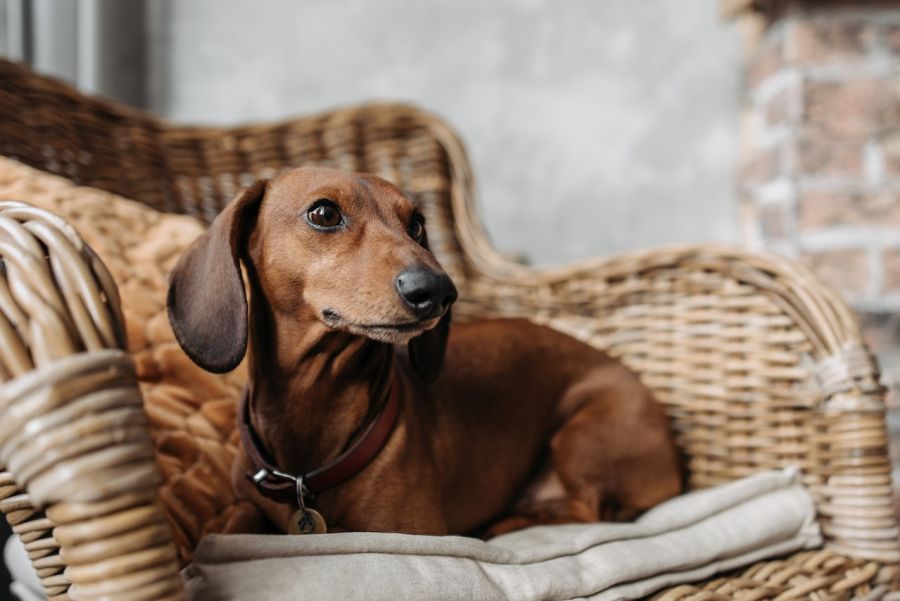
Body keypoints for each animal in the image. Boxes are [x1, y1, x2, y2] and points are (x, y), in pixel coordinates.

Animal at [165, 166, 680, 536]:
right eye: (324, 213)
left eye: (415, 224)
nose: (437, 290)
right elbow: (235, 521)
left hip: (584, 437)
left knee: (589, 510)